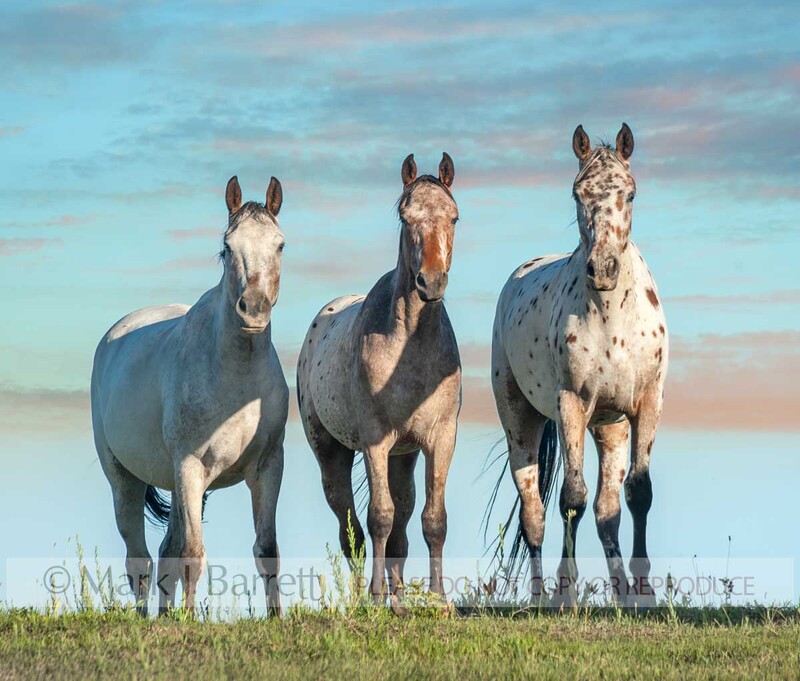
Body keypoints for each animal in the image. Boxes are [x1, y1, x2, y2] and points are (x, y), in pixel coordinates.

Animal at [90, 176, 289, 616]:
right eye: (227, 247)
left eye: (280, 244)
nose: (253, 309)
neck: (237, 380)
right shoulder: (190, 467)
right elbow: (194, 555)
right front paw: (191, 618)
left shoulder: (268, 467)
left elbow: (267, 549)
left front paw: (276, 617)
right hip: (125, 480)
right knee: (140, 559)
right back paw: (144, 617)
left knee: (166, 550)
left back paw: (163, 615)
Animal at [297, 153, 461, 604]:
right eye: (406, 218)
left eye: (454, 217)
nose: (431, 282)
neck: (410, 350)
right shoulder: (374, 441)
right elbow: (379, 519)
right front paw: (374, 597)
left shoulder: (439, 439)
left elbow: (433, 519)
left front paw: (437, 599)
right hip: (331, 452)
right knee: (350, 526)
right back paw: (360, 597)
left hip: (402, 456)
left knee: (403, 524)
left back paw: (400, 598)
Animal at [489, 123, 668, 607]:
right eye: (577, 193)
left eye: (630, 193)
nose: (602, 269)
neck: (613, 322)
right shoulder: (571, 404)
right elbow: (571, 498)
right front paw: (565, 592)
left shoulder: (646, 405)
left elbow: (637, 494)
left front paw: (643, 594)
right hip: (520, 421)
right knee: (533, 509)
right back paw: (539, 598)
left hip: (610, 427)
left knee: (607, 511)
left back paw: (621, 592)